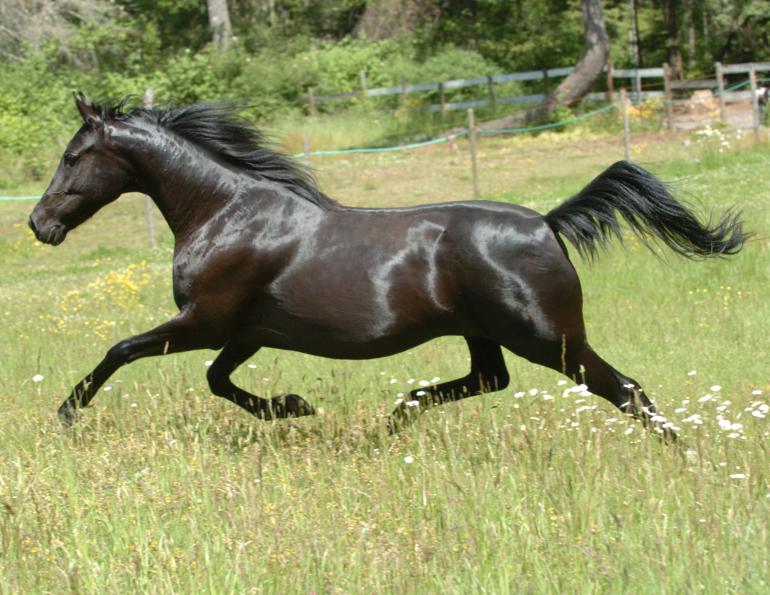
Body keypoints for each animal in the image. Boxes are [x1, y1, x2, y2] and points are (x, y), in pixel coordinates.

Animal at [28, 93, 748, 440]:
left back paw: (685, 455)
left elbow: (121, 350)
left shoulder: (203, 320)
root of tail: (547, 222)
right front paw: (293, 407)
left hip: (549, 337)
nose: (39, 225)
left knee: (625, 388)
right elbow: (218, 381)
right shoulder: (247, 331)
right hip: (485, 333)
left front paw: (65, 414)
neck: (225, 211)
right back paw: (398, 414)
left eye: (72, 156)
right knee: (487, 380)